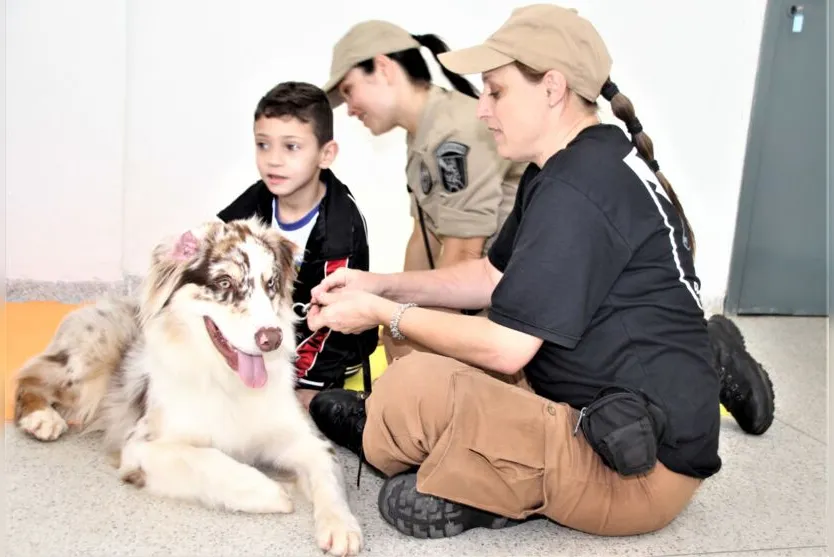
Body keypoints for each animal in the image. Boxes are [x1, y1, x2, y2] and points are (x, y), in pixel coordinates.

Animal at [13, 217, 364, 556]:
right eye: (224, 283)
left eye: (271, 284)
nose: (271, 338)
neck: (228, 381)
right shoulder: (142, 447)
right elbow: (209, 459)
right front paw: (273, 492)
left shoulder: (307, 441)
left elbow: (329, 478)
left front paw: (341, 526)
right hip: (90, 358)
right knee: (29, 375)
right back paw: (40, 418)